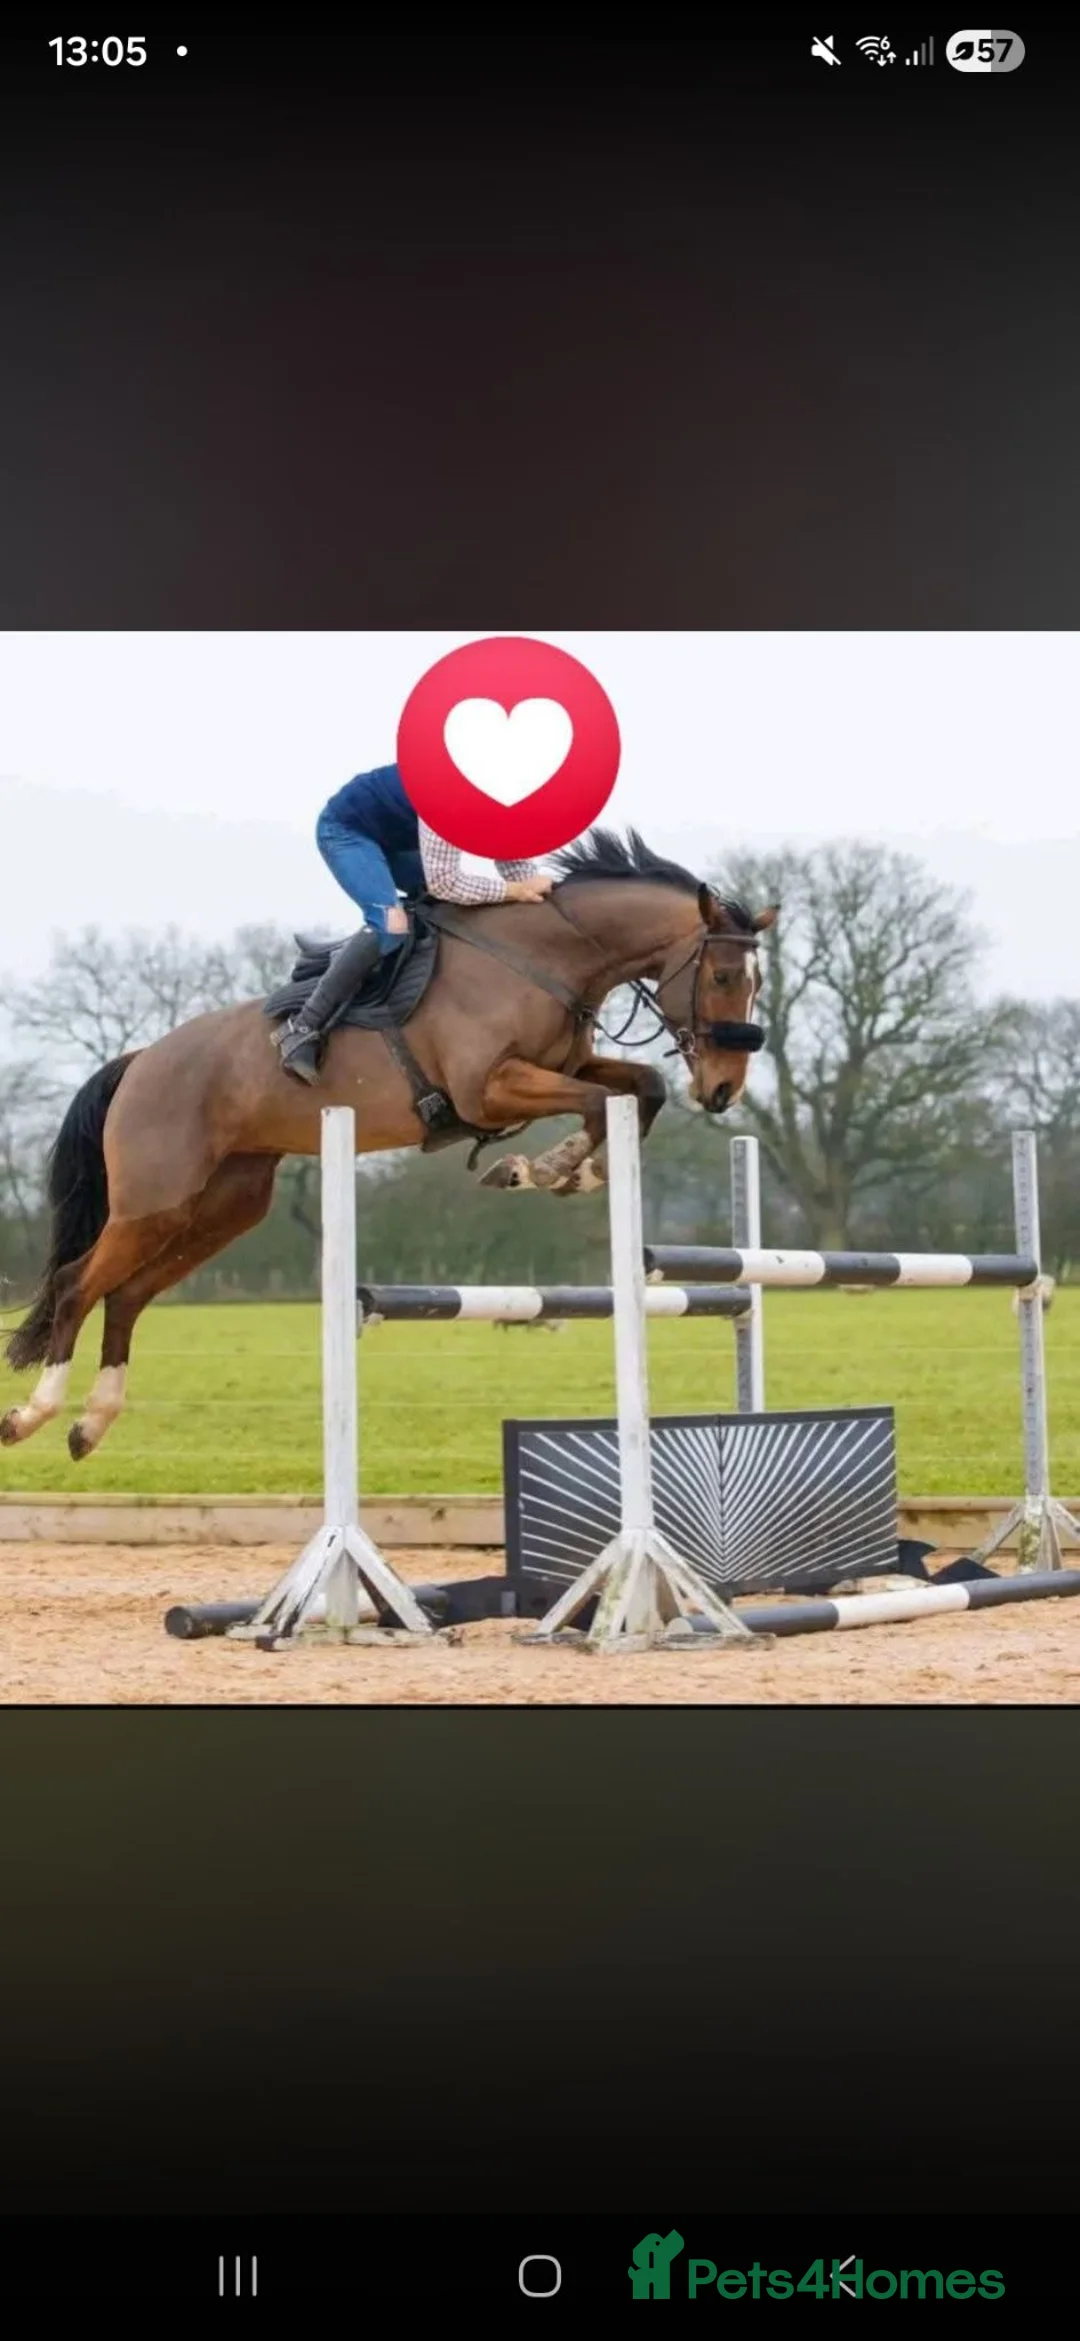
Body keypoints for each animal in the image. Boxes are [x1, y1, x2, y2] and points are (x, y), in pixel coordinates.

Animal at [1, 829, 776, 1461]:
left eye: (756, 981)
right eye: (723, 976)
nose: (722, 1090)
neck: (543, 958)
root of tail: (142, 1060)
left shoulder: (566, 1065)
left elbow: (640, 1086)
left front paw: (567, 1171)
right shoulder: (488, 1087)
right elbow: (598, 1102)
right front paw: (543, 1168)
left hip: (224, 1205)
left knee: (127, 1294)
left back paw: (91, 1424)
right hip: (156, 1201)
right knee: (77, 1284)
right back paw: (34, 1414)